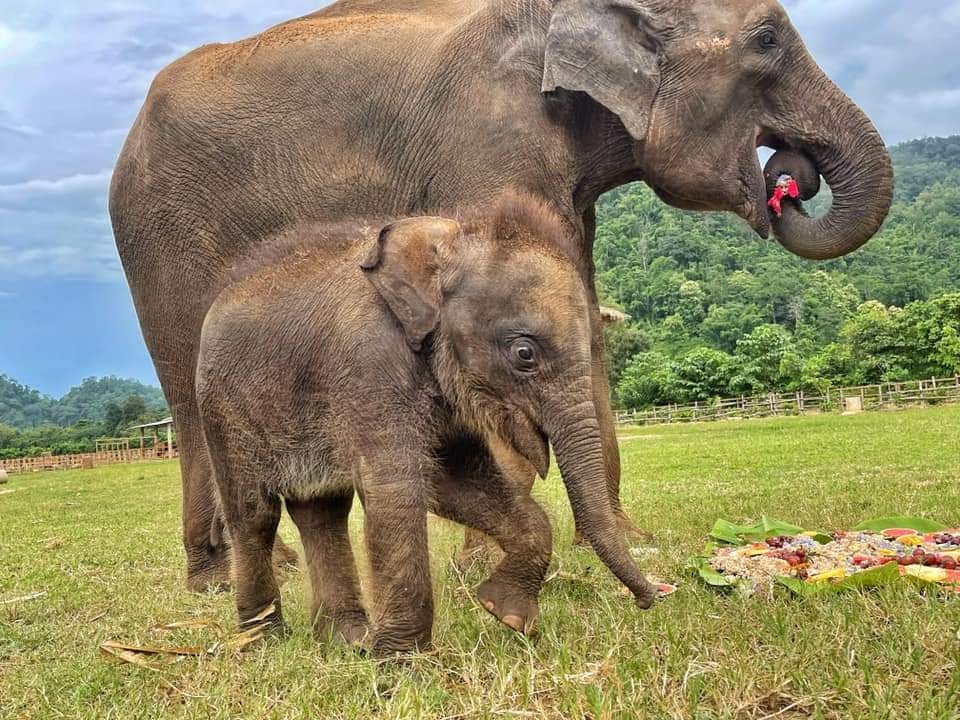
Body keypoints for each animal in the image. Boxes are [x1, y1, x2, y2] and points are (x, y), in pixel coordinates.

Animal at [110, 0, 892, 592]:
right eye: (766, 39)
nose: (789, 176)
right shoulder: (485, 145)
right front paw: (487, 564)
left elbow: (583, 316)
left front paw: (626, 539)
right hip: (158, 238)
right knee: (188, 392)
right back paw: (223, 577)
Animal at [197, 194, 660, 656]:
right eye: (524, 353)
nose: (650, 598)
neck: (451, 235)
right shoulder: (368, 368)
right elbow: (396, 491)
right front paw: (401, 663)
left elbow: (453, 484)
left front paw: (505, 613)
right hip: (222, 409)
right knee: (254, 513)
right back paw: (262, 641)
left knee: (323, 510)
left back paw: (347, 639)